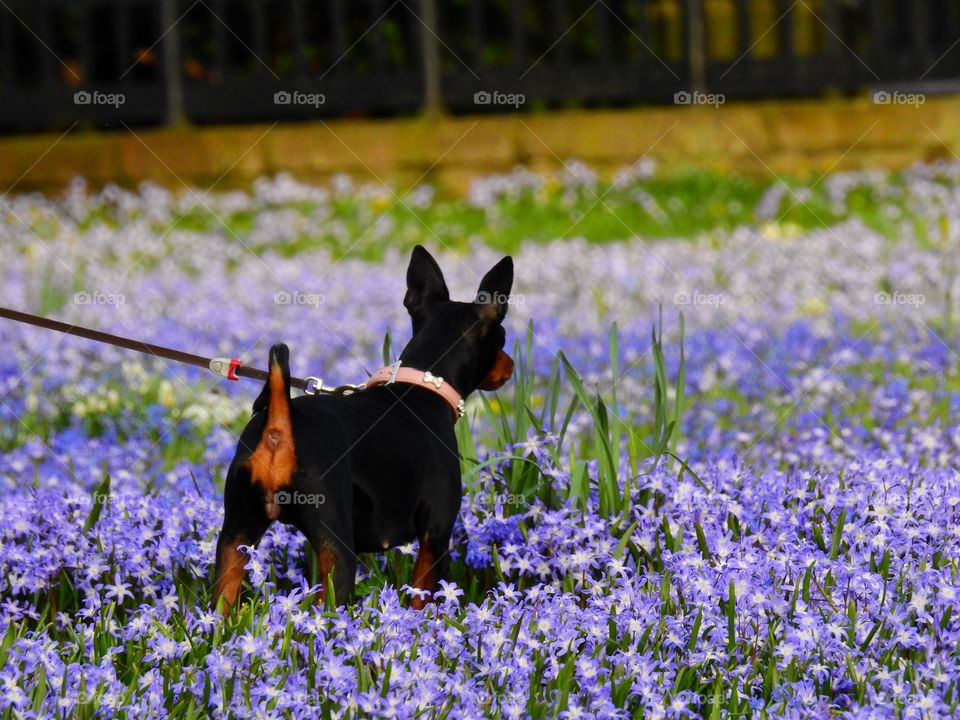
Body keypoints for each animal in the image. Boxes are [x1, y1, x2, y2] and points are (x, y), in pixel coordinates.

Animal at [214, 245, 512, 612]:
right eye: (502, 339)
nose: (511, 365)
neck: (423, 383)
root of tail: (279, 426)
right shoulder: (436, 536)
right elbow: (424, 601)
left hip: (234, 536)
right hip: (339, 550)